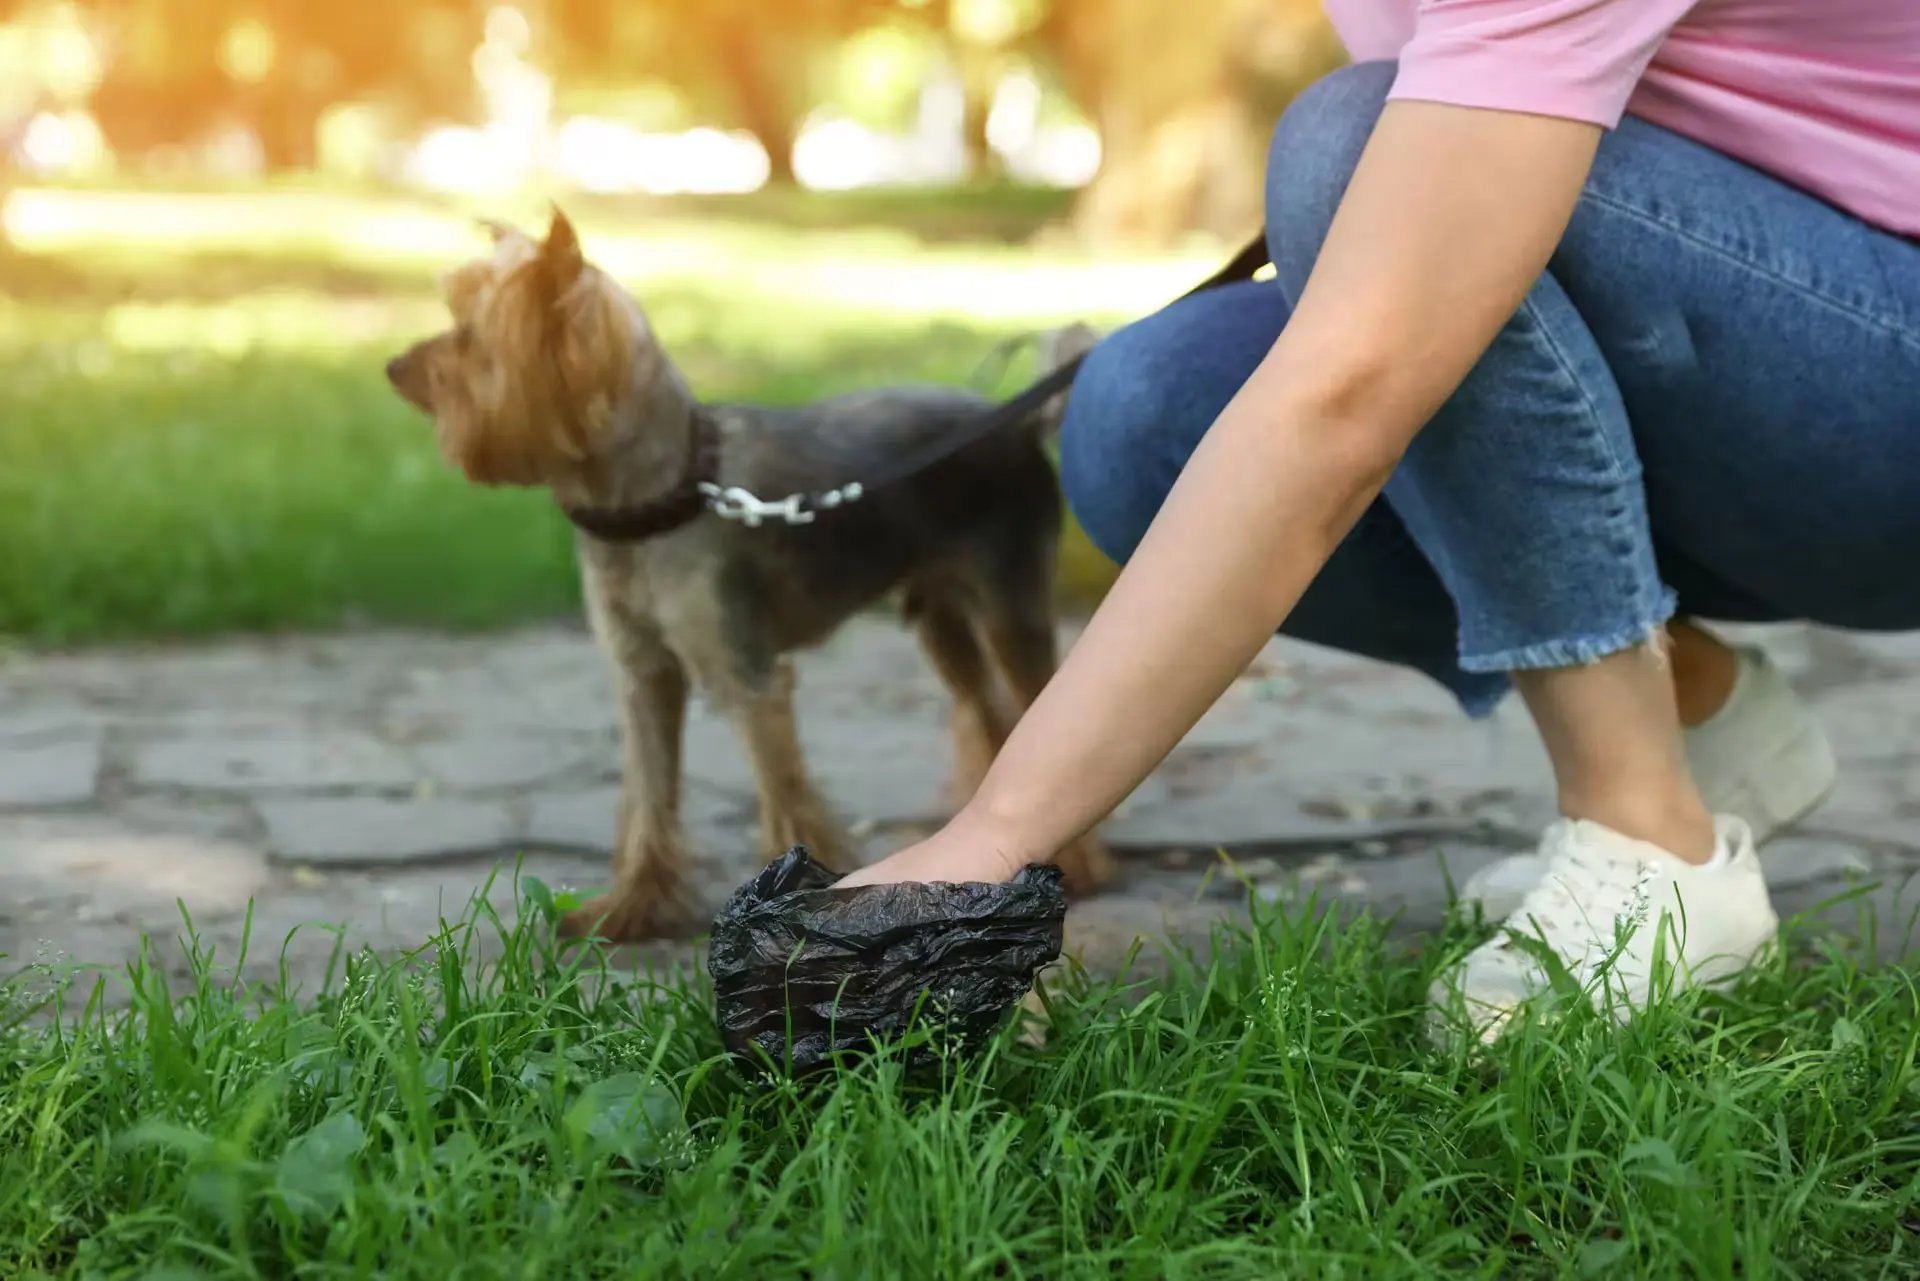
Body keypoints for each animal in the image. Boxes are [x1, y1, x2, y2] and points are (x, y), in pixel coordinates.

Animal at [385, 205, 1113, 937]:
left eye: (471, 337)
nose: (394, 366)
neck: (662, 499)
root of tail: (1019, 425)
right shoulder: (644, 676)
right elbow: (649, 794)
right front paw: (627, 907)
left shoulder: (748, 678)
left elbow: (784, 790)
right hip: (939, 616)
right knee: (988, 707)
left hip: (1008, 602)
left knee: (1037, 704)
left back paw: (1079, 864)